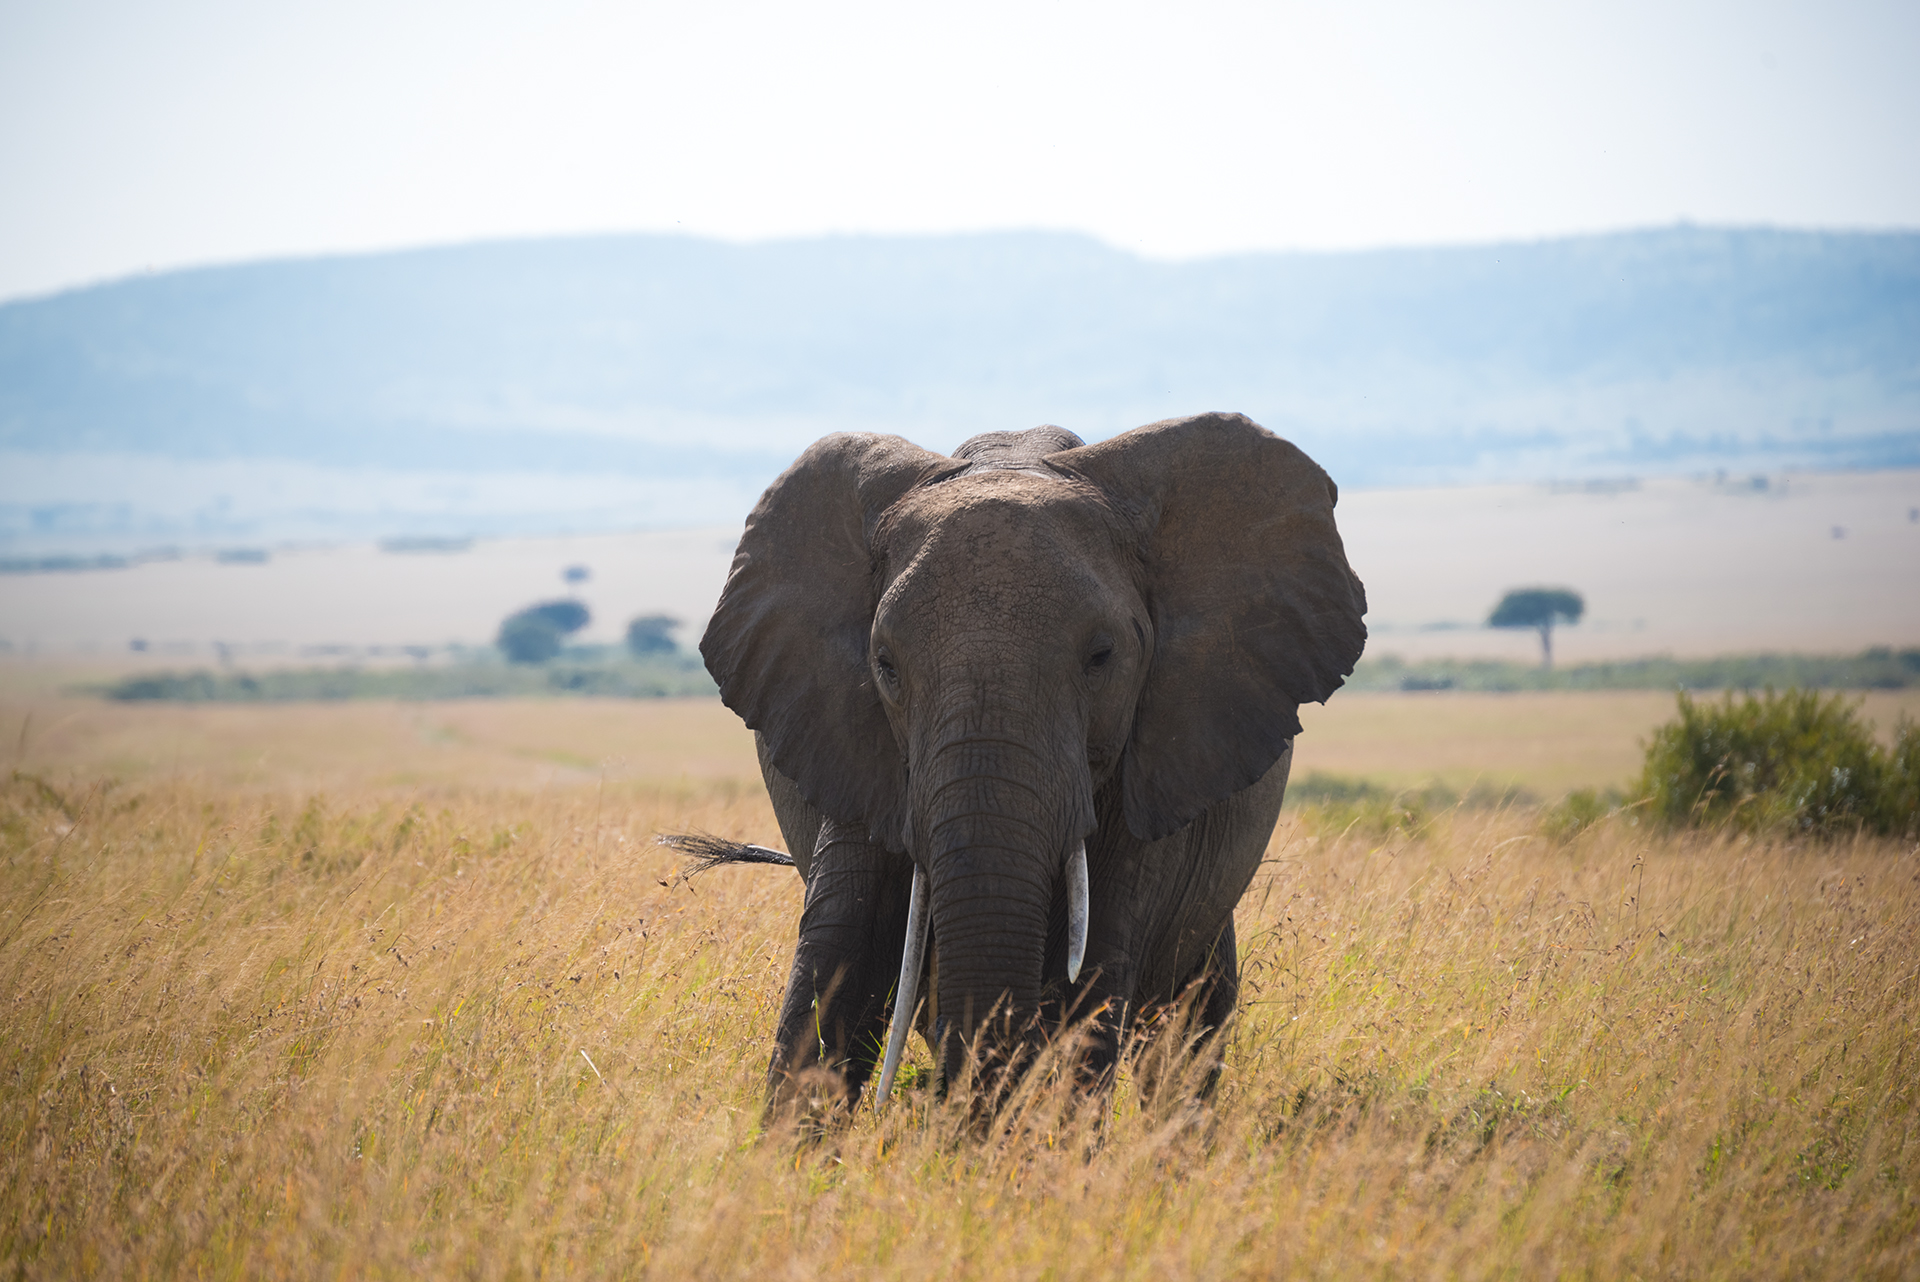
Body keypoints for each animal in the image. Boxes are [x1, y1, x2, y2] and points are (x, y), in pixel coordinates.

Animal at [691, 411, 1367, 1115]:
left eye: (1101, 657)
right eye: (885, 665)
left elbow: (1089, 976)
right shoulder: (854, 743)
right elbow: (839, 949)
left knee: (1188, 1017)